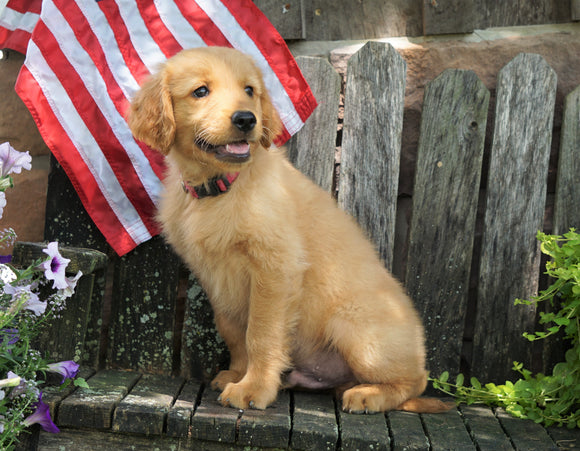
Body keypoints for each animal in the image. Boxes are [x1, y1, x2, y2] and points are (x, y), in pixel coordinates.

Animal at [130, 47, 448, 414]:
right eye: (200, 91)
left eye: (249, 90)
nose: (246, 120)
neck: (220, 187)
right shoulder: (216, 277)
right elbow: (234, 330)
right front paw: (237, 373)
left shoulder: (275, 268)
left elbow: (260, 334)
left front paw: (253, 388)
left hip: (356, 328)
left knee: (415, 380)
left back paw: (369, 394)